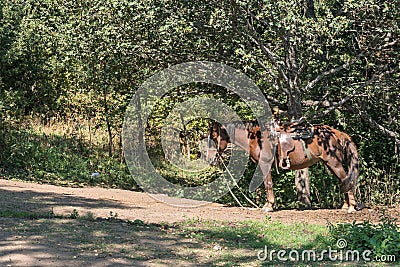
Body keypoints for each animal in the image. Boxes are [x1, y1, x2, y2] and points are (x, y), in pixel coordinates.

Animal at [208, 118, 360, 215]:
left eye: (214, 137)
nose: (210, 159)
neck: (255, 137)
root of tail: (338, 133)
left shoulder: (265, 164)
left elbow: (268, 184)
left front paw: (269, 206)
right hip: (331, 165)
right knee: (343, 181)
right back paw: (345, 206)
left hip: (334, 164)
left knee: (345, 179)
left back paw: (351, 207)